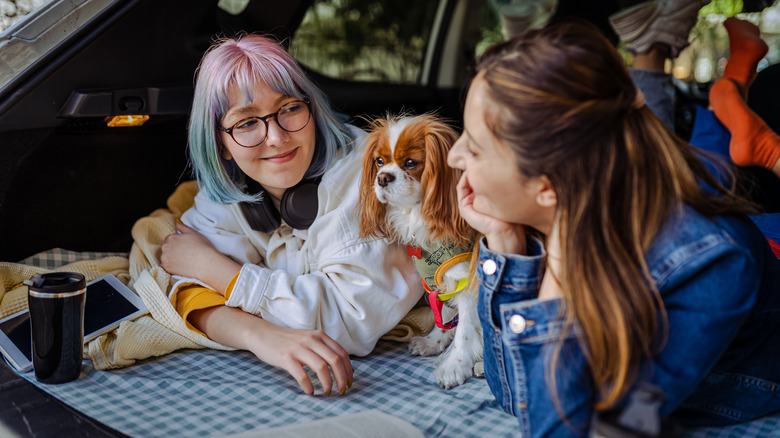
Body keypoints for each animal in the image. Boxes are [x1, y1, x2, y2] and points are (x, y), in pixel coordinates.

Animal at [358, 114, 482, 388]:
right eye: (379, 161)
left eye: (411, 163)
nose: (382, 177)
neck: (418, 215)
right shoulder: (441, 280)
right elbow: (445, 316)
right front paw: (433, 342)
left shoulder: (468, 281)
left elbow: (465, 329)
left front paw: (455, 366)